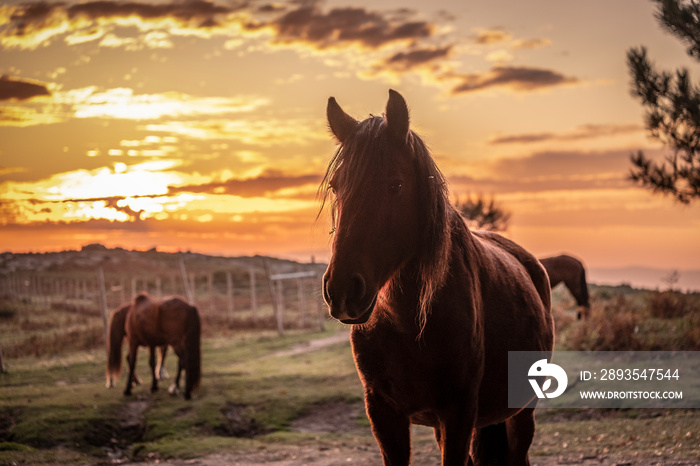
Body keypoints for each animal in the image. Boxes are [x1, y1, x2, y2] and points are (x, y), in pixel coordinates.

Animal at [320, 91, 556, 466]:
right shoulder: (385, 414)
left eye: (395, 185)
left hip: (521, 413)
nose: (342, 290)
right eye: (336, 185)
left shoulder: (458, 413)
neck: (409, 323)